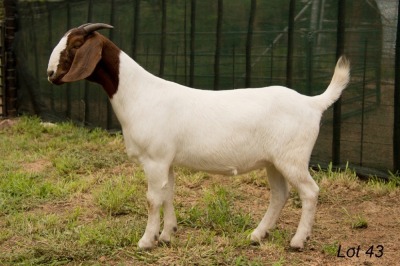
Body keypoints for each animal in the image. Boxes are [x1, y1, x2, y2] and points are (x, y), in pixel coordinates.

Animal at [47, 22, 350, 249]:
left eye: (75, 45)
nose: (50, 74)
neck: (138, 93)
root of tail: (313, 103)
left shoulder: (154, 160)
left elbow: (152, 198)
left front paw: (146, 240)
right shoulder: (165, 160)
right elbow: (168, 193)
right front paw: (168, 234)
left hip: (293, 157)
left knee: (309, 191)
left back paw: (297, 241)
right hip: (274, 161)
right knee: (280, 194)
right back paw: (256, 235)